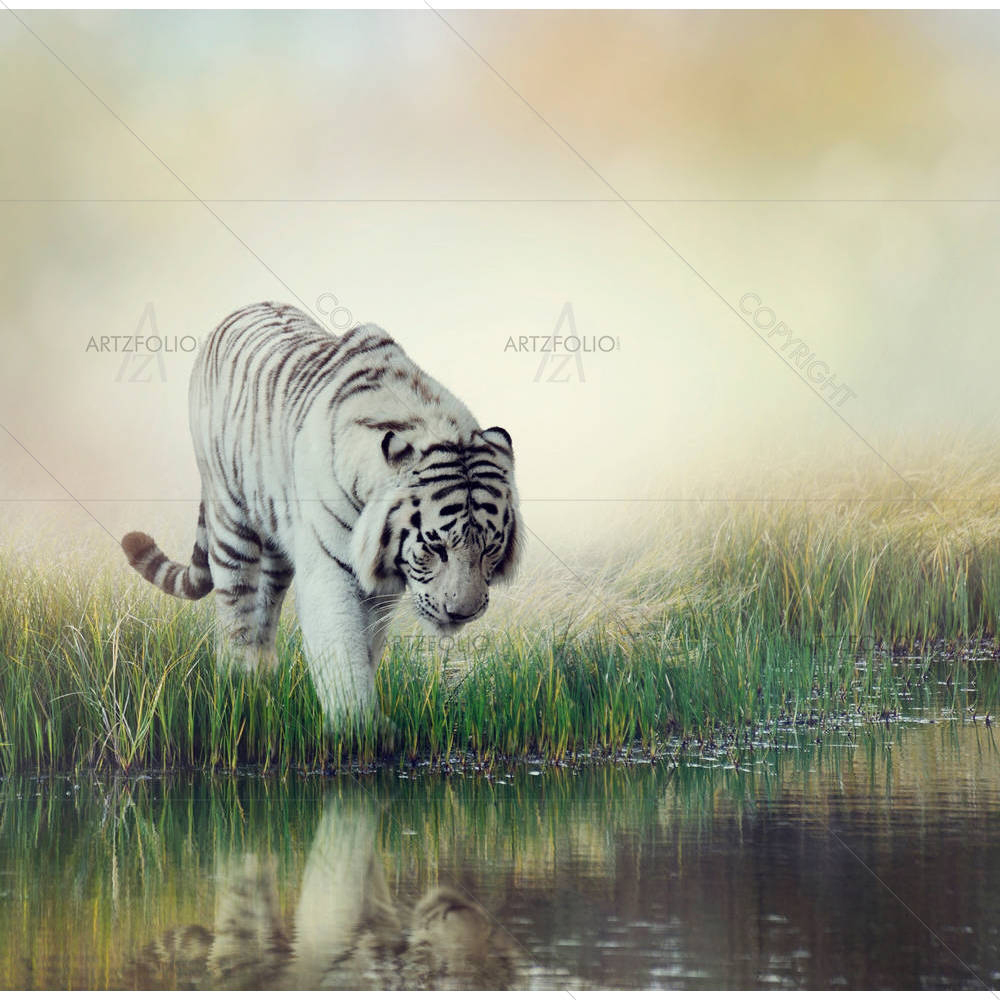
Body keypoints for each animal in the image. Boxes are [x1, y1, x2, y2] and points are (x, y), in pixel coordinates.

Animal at [121, 302, 521, 725]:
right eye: (435, 546)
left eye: (490, 548)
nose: (461, 613)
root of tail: (242, 309)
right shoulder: (330, 569)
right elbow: (342, 649)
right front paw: (356, 726)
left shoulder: (380, 584)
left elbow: (367, 646)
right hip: (230, 519)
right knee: (236, 609)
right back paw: (239, 683)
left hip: (278, 542)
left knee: (265, 607)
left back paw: (264, 678)